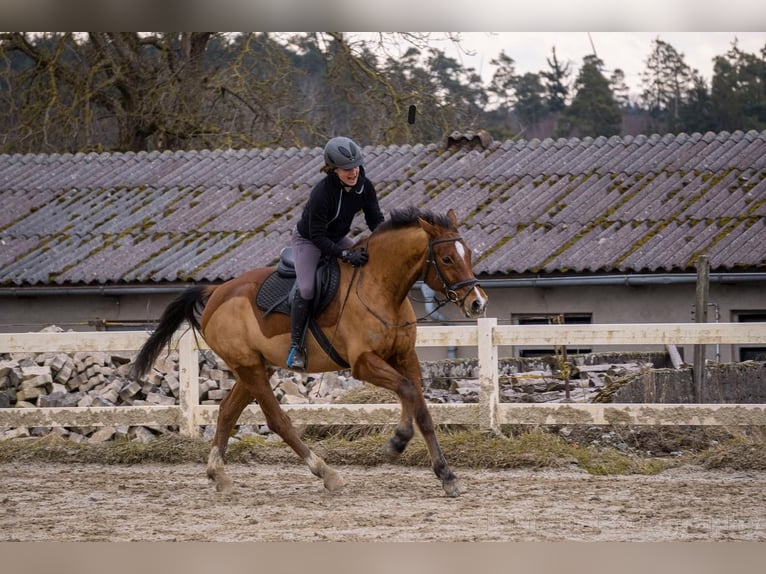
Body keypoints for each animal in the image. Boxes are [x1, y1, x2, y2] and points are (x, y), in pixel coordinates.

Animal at [130, 206, 488, 497]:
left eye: (469, 254)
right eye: (446, 259)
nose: (478, 303)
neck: (381, 286)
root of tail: (216, 292)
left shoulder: (405, 357)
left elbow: (422, 410)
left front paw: (447, 476)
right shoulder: (364, 363)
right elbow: (407, 390)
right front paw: (397, 441)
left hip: (257, 367)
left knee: (228, 411)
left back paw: (219, 475)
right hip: (249, 367)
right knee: (277, 420)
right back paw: (327, 473)